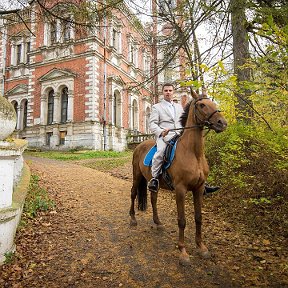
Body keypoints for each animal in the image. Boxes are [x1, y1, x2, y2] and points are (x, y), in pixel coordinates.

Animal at [129, 94, 227, 266]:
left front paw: (201, 247)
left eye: (212, 102)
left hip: (154, 182)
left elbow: (198, 218)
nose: (222, 123)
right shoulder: (180, 190)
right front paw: (183, 252)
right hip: (137, 176)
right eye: (201, 105)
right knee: (133, 193)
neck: (193, 153)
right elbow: (182, 220)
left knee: (153, 199)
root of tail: (139, 145)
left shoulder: (199, 189)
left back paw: (158, 223)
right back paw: (133, 219)